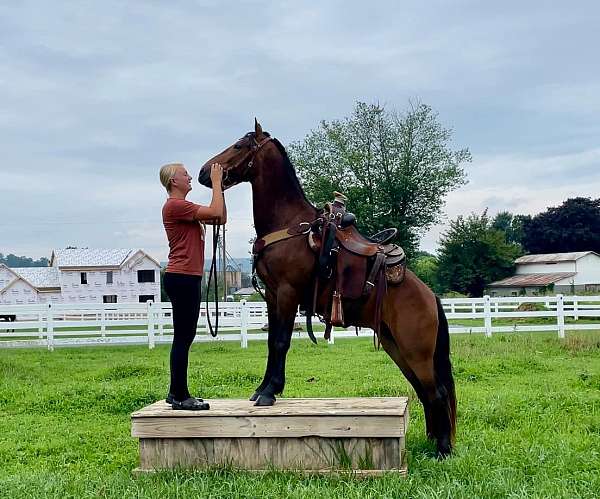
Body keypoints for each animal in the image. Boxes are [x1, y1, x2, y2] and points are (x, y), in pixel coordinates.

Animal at [199, 121, 458, 458]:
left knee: (436, 392)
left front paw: (270, 392)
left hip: (416, 351)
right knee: (424, 392)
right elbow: (271, 341)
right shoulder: (272, 296)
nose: (205, 173)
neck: (290, 225)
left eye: (240, 145)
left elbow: (280, 342)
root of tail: (430, 297)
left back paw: (443, 449)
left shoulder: (287, 293)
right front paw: (263, 389)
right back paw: (433, 443)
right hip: (396, 347)